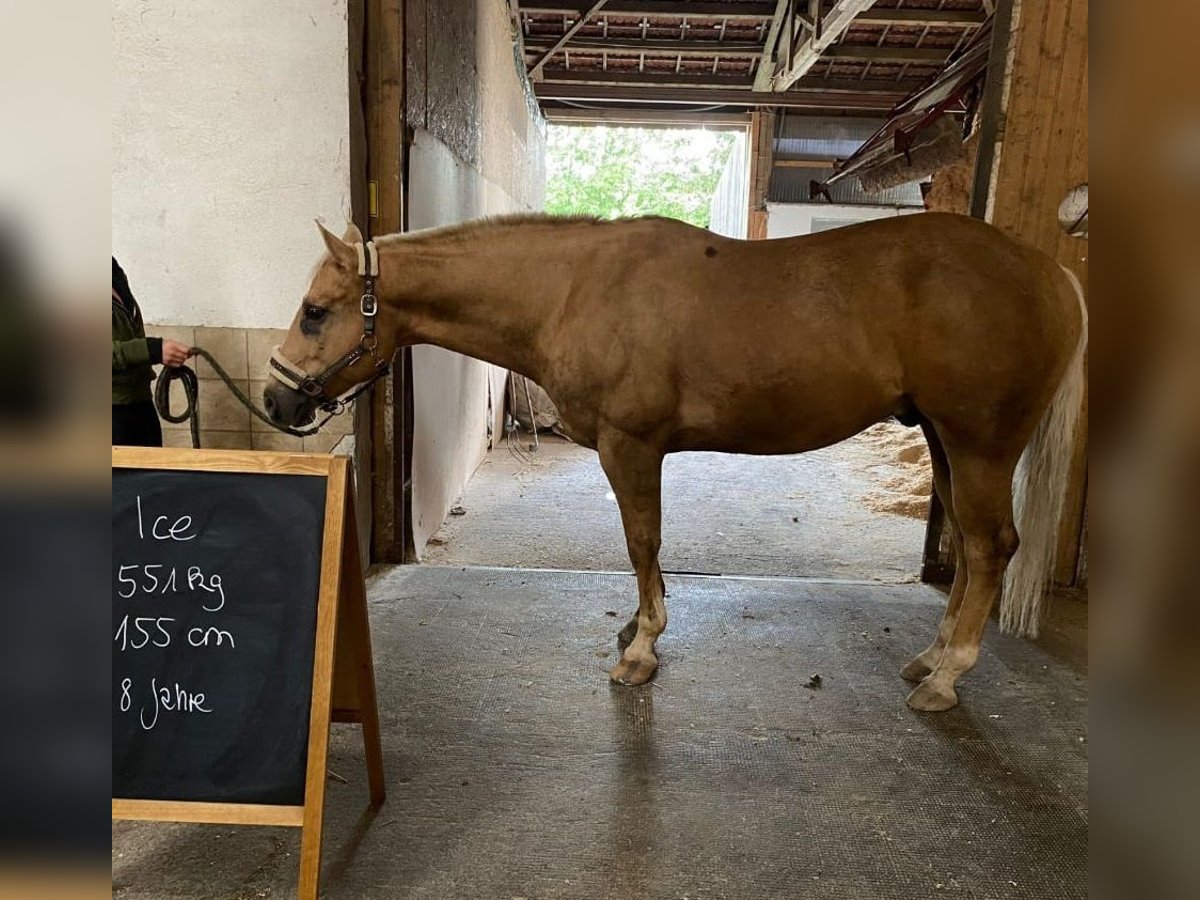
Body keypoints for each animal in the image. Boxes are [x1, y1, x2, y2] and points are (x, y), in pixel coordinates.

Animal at [262, 214, 1089, 715]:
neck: (573, 291)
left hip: (979, 444)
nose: (276, 399)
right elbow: (644, 551)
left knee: (990, 549)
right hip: (947, 443)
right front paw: (637, 628)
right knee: (973, 551)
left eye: (315, 310)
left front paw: (641, 650)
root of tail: (1049, 271)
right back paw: (930, 657)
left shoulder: (631, 445)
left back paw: (947, 677)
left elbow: (642, 542)